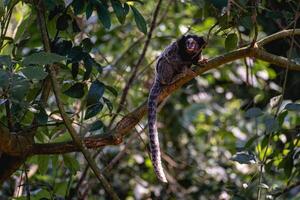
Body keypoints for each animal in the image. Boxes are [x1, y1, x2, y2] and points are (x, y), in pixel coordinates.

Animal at [147, 34, 206, 183]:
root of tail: (157, 78)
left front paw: (199, 61)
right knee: (165, 63)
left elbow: (197, 58)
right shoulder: (175, 50)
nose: (190, 46)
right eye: (187, 43)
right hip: (163, 73)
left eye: (193, 43)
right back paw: (177, 76)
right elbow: (171, 59)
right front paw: (187, 66)